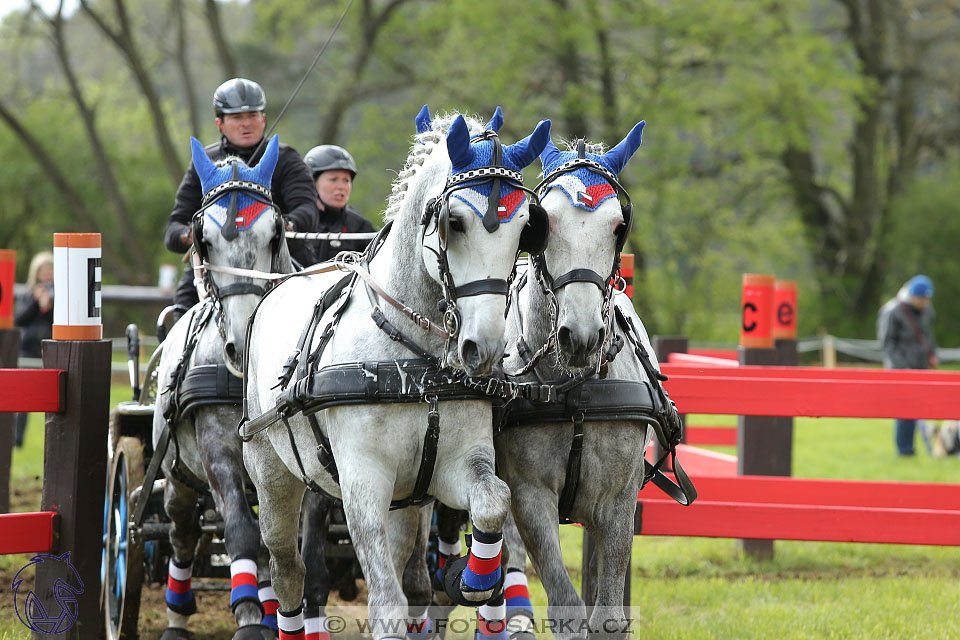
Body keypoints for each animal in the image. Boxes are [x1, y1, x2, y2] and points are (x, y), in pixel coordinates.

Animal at [152, 135, 294, 640]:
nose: (243, 342)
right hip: (177, 475)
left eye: (275, 232)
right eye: (202, 238)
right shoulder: (218, 452)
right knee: (182, 533)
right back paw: (177, 614)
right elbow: (239, 530)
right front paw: (249, 616)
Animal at [244, 107, 552, 636]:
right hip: (272, 476)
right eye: (453, 222)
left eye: (525, 228)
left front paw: (471, 577)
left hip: (406, 503)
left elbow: (494, 499)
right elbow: (386, 604)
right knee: (287, 572)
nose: (485, 349)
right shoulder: (361, 482)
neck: (413, 362)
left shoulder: (456, 466)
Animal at [496, 122, 688, 636]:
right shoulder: (530, 497)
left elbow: (608, 615)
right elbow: (566, 606)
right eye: (543, 223)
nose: (580, 336)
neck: (576, 392)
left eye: (619, 226)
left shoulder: (619, 501)